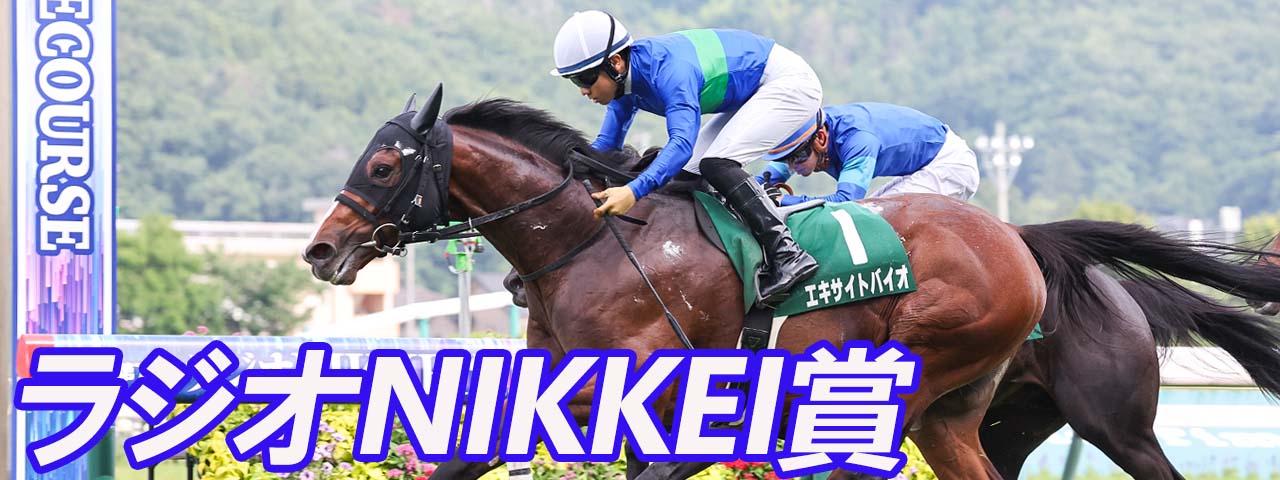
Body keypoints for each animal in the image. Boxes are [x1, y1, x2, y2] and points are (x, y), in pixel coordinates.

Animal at [301, 92, 1280, 479]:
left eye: (383, 164)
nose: (320, 251)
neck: (591, 241)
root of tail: (1019, 242)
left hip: (1059, 405)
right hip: (980, 416)